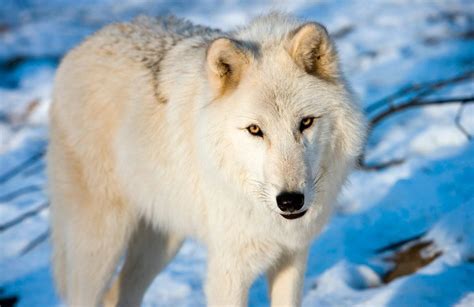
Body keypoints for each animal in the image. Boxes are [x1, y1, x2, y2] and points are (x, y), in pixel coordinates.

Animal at [47, 12, 366, 307]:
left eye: (306, 122)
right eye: (255, 130)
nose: (290, 201)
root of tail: (77, 50)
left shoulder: (293, 256)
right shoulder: (229, 270)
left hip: (163, 241)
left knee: (118, 295)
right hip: (101, 244)